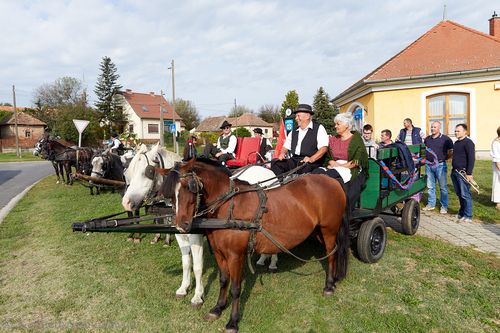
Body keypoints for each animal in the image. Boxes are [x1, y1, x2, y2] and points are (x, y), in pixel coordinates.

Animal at [121, 143, 205, 306]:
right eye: (130, 171)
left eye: (148, 171)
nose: (126, 202)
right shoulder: (180, 234)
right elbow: (186, 262)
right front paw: (184, 287)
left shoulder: (196, 236)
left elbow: (198, 266)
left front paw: (198, 295)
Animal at [162, 159, 350, 332]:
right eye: (170, 193)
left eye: (190, 187)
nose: (181, 225)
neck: (229, 206)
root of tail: (332, 181)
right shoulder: (219, 253)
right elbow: (223, 280)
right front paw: (218, 308)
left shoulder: (235, 255)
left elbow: (235, 288)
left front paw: (233, 321)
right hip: (318, 231)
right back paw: (333, 282)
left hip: (329, 230)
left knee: (332, 254)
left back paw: (329, 285)